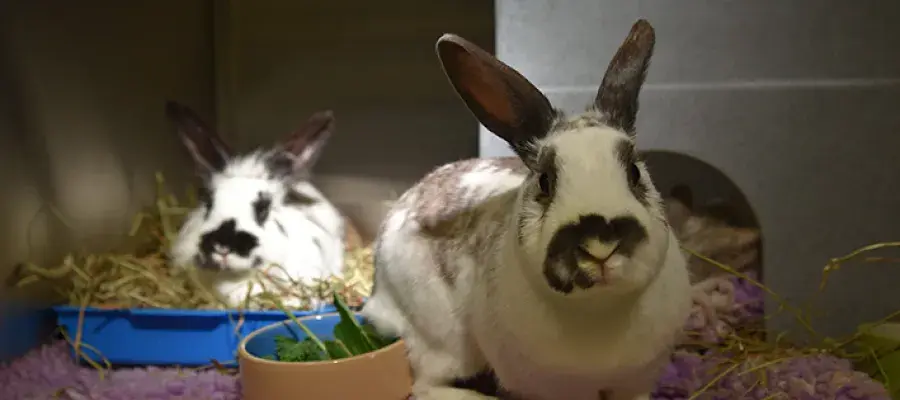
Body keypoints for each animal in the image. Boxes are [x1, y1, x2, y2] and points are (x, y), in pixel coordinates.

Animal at [360, 20, 693, 400]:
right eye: (545, 181)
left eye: (634, 172)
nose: (600, 242)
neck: (600, 307)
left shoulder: (636, 382)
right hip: (441, 340)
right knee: (426, 385)